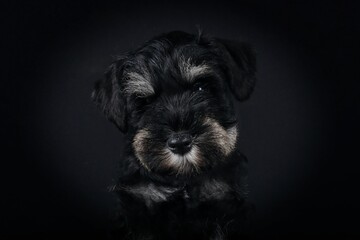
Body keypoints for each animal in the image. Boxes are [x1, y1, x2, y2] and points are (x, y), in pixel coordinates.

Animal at [93, 31, 256, 239]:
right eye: (146, 101)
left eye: (200, 87)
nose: (180, 143)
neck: (182, 181)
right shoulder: (142, 206)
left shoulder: (224, 201)